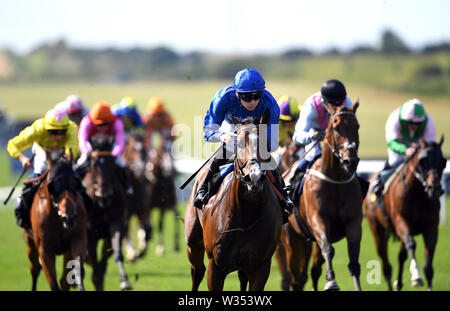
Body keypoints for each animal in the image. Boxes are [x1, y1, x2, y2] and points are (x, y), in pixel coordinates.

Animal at [24, 150, 88, 292]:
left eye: (75, 183)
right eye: (53, 185)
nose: (69, 217)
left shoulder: (77, 239)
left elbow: (76, 272)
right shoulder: (44, 248)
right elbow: (52, 280)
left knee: (64, 280)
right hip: (30, 244)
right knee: (34, 269)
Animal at [82, 135, 132, 292]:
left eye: (111, 163)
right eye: (94, 163)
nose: (104, 194)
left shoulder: (115, 223)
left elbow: (116, 253)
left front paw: (125, 281)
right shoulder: (89, 231)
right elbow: (93, 262)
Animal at [185, 108, 284, 292]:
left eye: (266, 144)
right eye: (239, 144)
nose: (254, 177)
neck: (245, 217)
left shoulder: (261, 267)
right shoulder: (215, 267)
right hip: (193, 243)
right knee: (197, 271)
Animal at [284, 103, 364, 292]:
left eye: (356, 126)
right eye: (335, 127)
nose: (350, 161)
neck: (336, 180)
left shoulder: (353, 222)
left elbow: (354, 261)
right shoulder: (318, 219)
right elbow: (328, 249)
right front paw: (332, 282)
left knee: (312, 272)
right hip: (292, 238)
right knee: (296, 279)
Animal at [366, 138, 446, 292]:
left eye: (443, 162)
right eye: (423, 161)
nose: (434, 188)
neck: (418, 194)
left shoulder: (431, 226)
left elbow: (429, 264)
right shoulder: (400, 220)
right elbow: (411, 244)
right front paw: (416, 276)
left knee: (401, 256)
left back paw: (399, 283)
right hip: (378, 232)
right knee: (386, 266)